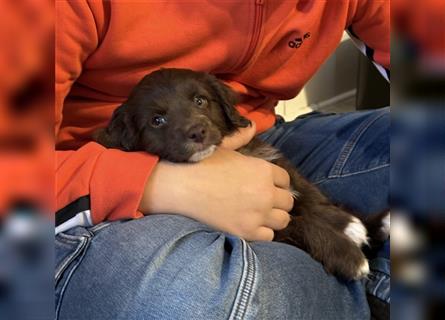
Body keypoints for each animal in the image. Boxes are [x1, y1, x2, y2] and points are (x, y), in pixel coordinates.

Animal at [94, 68, 388, 280]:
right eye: (157, 120)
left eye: (200, 100)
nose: (197, 132)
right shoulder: (266, 226)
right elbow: (299, 223)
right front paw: (348, 255)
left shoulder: (276, 163)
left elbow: (309, 194)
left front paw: (348, 223)